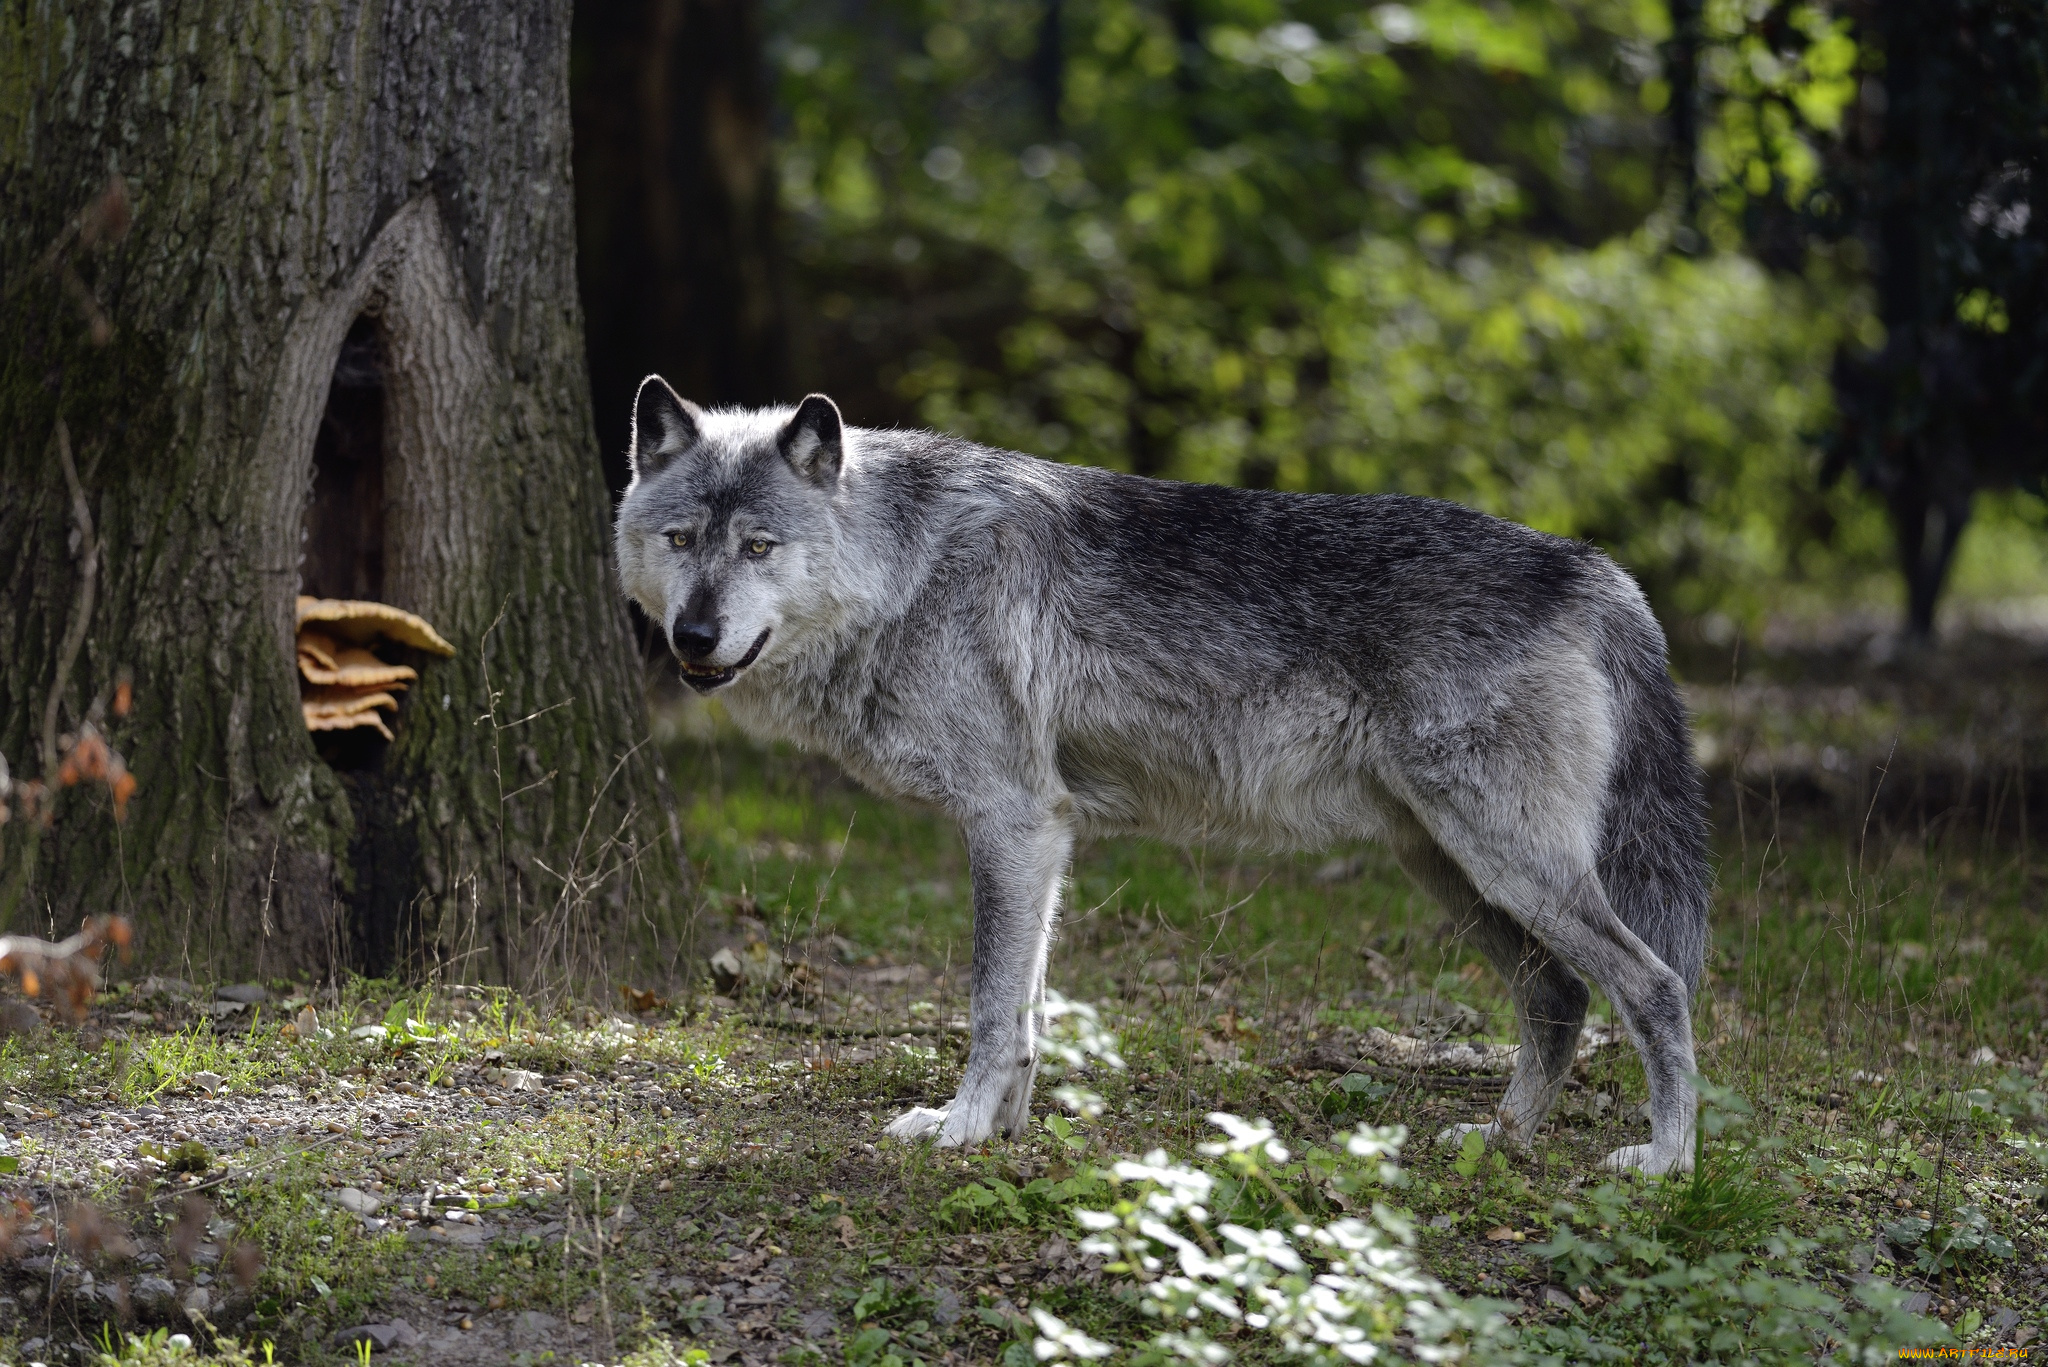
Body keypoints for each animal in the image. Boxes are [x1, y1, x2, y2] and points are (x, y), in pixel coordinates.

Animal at [606, 377, 1712, 1180]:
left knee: (1653, 986)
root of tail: (1598, 570)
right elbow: (1027, 1013)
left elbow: (987, 1006)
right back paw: (1502, 1138)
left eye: (759, 546)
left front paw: (960, 1128)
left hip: (1505, 865)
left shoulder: (1010, 822)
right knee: (1557, 996)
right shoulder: (1042, 837)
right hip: (1453, 869)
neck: (907, 571)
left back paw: (1665, 1162)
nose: (692, 636)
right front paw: (1004, 1130)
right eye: (680, 540)